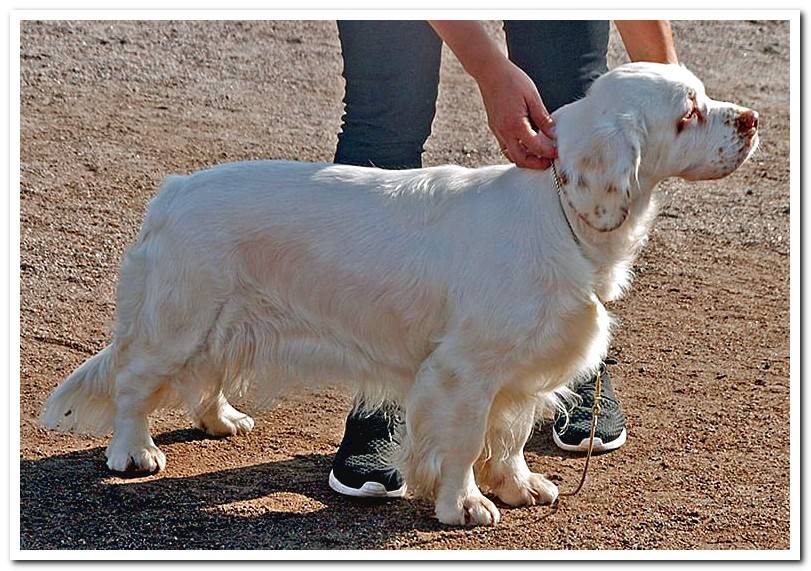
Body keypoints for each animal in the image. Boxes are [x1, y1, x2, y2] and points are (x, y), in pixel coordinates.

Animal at [41, 63, 760, 528]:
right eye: (687, 113)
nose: (753, 119)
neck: (558, 213)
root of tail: (174, 189)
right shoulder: (465, 370)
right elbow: (466, 441)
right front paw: (463, 504)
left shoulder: (519, 370)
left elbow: (509, 435)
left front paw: (518, 485)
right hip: (180, 318)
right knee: (134, 383)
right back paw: (133, 452)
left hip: (225, 317)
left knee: (207, 375)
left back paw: (222, 419)